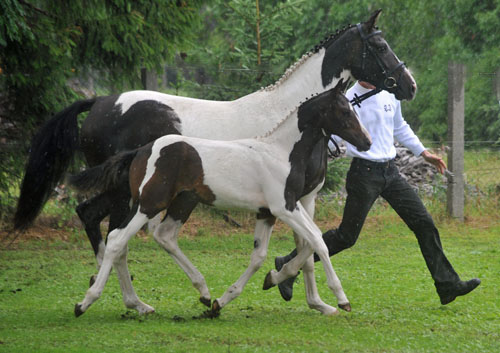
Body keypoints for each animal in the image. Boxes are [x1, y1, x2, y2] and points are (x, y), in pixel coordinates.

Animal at [14, 9, 418, 276]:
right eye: (380, 45)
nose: (409, 85)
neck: (291, 115)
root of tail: (100, 103)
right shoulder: (287, 199)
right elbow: (308, 243)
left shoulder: (304, 199)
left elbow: (309, 244)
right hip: (127, 193)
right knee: (112, 232)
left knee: (90, 216)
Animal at [71, 77, 372, 316]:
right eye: (344, 111)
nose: (367, 142)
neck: (281, 151)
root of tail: (141, 151)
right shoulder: (284, 207)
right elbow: (318, 241)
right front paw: (341, 298)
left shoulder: (268, 212)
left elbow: (266, 254)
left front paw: (254, 286)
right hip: (149, 203)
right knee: (117, 239)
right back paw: (86, 303)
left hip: (173, 201)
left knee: (159, 236)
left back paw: (199, 294)